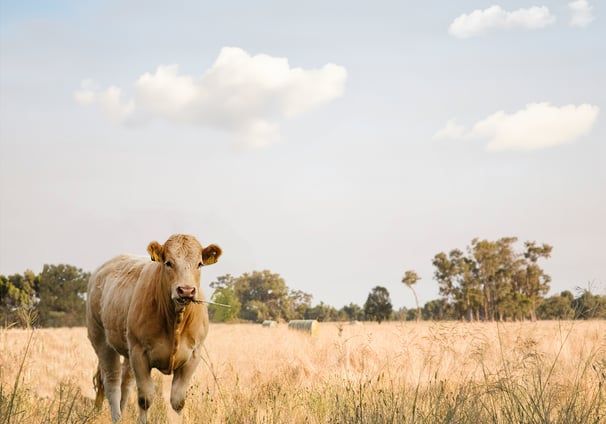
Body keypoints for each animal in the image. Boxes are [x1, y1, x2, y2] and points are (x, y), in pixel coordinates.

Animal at [86, 234, 222, 422]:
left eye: (199, 264)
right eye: (168, 263)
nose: (186, 290)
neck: (175, 321)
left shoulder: (193, 355)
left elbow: (178, 401)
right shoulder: (139, 353)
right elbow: (145, 398)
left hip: (127, 348)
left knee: (126, 382)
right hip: (101, 339)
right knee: (112, 382)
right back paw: (117, 418)